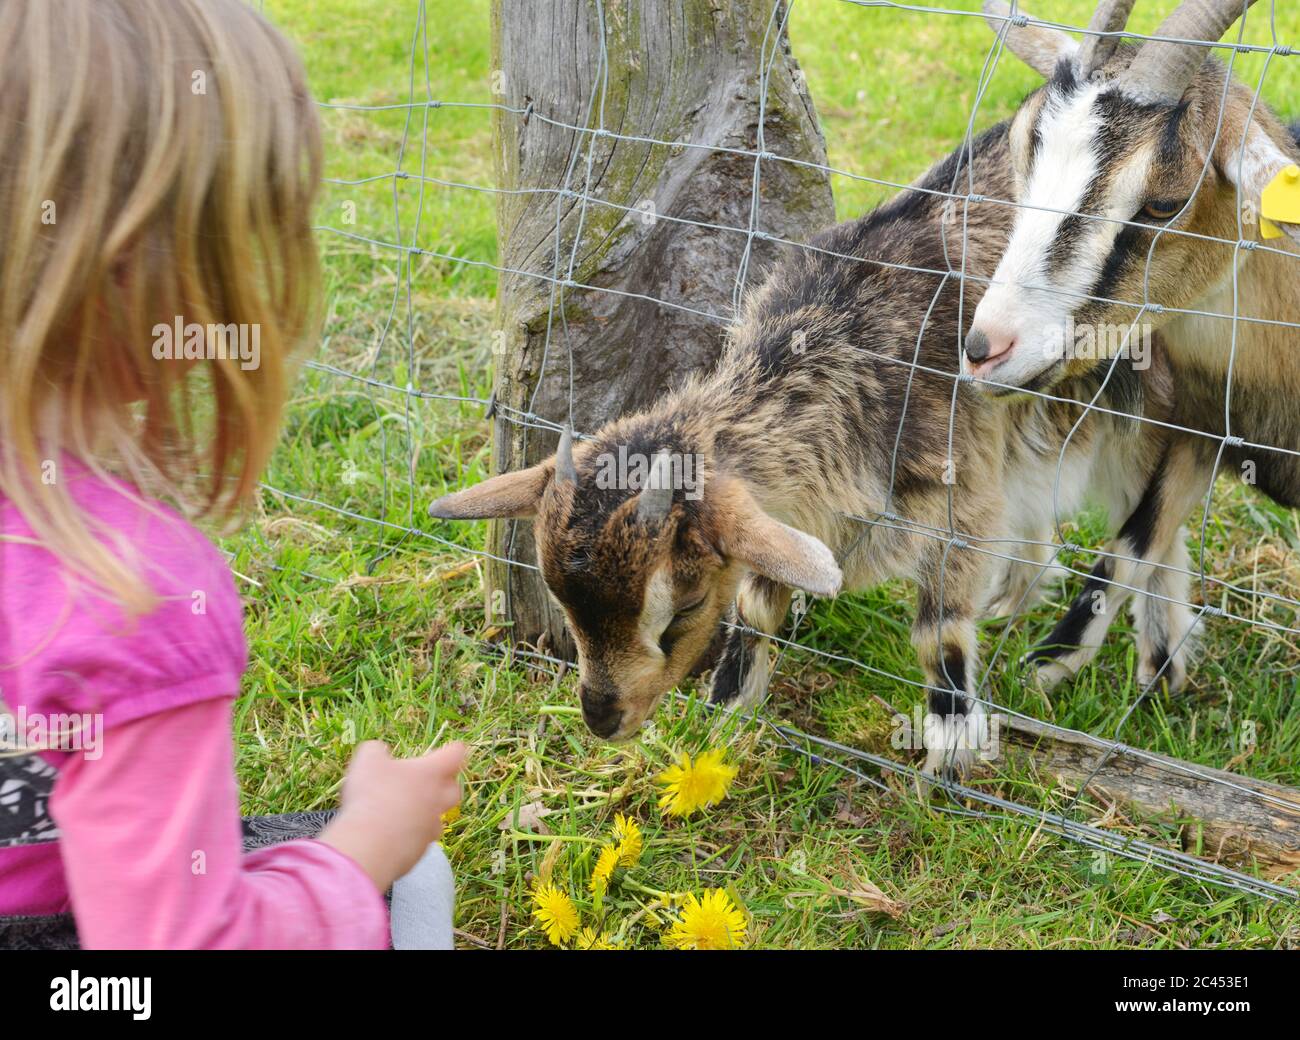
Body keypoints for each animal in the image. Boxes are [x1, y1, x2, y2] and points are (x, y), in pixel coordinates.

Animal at [428, 128, 1174, 778]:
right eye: (561, 602)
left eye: (684, 608)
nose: (603, 719)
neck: (845, 343)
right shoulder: (793, 517)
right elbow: (759, 607)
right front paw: (726, 718)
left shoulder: (960, 494)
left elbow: (939, 631)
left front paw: (950, 757)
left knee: (1153, 523)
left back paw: (1144, 660)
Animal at [967, 0, 1300, 692]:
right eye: (1021, 155)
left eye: (1166, 203)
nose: (986, 348)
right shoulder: (1197, 429)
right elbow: (1135, 537)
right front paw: (1064, 662)